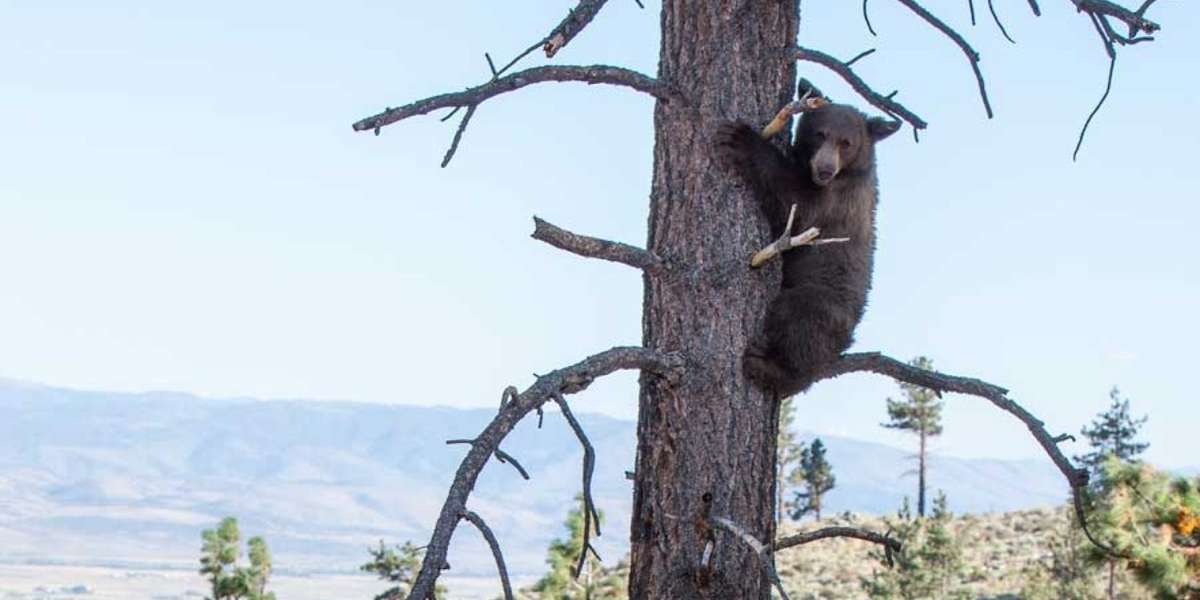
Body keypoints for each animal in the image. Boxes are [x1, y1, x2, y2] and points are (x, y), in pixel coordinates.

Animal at [715, 102, 898, 398]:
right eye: (820, 134)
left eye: (846, 143)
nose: (825, 169)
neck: (845, 174)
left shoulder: (839, 201)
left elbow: (798, 206)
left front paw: (740, 138)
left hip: (822, 302)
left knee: (797, 324)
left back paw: (765, 366)